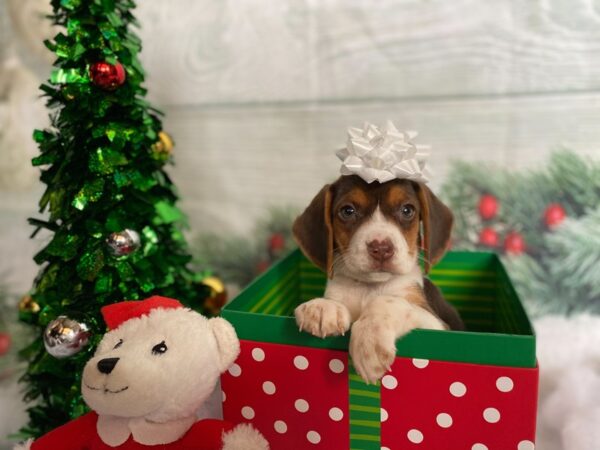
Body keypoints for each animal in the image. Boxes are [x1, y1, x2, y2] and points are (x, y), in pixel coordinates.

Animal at [292, 176, 466, 384]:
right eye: (347, 211)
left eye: (407, 210)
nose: (382, 248)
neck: (370, 286)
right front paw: (322, 307)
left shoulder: (437, 324)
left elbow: (388, 301)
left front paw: (369, 340)